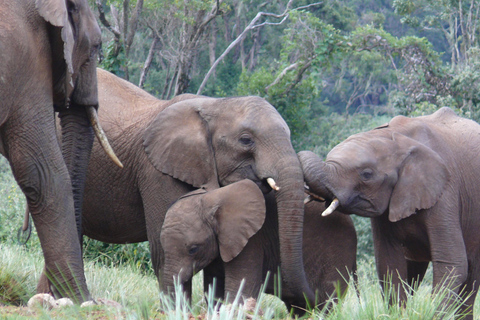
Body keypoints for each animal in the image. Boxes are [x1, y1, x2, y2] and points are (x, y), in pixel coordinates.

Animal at [160, 179, 356, 308]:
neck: (210, 200)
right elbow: (215, 289)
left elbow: (240, 287)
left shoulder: (252, 241)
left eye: (193, 249)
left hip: (338, 254)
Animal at [298, 107, 480, 318]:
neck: (396, 138)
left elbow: (452, 264)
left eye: (366, 174)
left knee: (471, 276)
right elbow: (389, 263)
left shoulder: (445, 192)